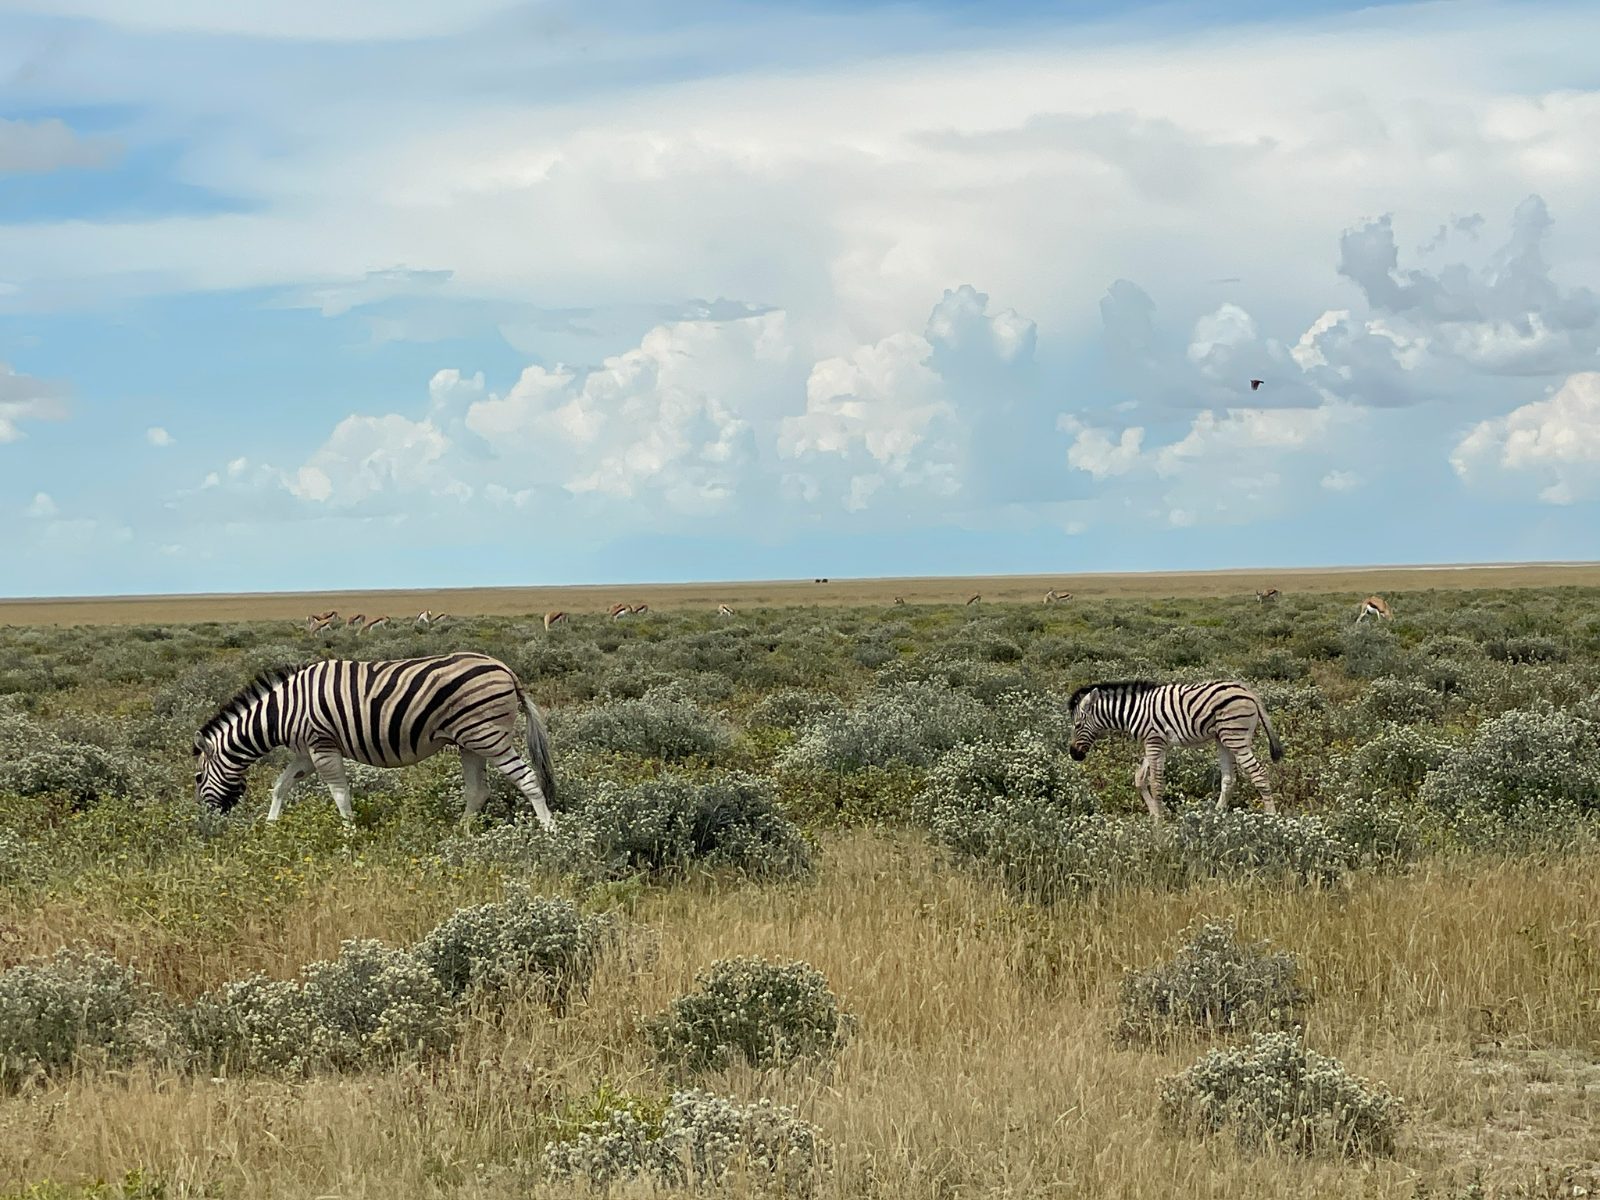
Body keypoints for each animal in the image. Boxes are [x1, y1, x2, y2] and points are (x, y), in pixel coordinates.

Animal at [192, 652, 557, 830]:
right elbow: (281, 786)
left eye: (197, 777)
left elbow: (339, 794)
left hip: (488, 736)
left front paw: (349, 835)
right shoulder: (306, 753)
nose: (209, 819)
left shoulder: (322, 745)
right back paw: (459, 835)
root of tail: (506, 670)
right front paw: (270, 827)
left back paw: (550, 832)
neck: (283, 711)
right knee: (479, 791)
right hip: (469, 741)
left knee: (527, 779)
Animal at [1066, 680, 1284, 820]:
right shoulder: (1155, 743)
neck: (1133, 711)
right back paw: (1215, 815)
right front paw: (1154, 814)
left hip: (1236, 737)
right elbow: (1139, 778)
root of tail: (1248, 691)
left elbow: (1156, 783)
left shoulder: (1154, 742)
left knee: (1259, 773)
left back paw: (1271, 819)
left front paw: (1160, 821)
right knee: (1229, 779)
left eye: (1077, 725)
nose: (1074, 755)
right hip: (1223, 739)